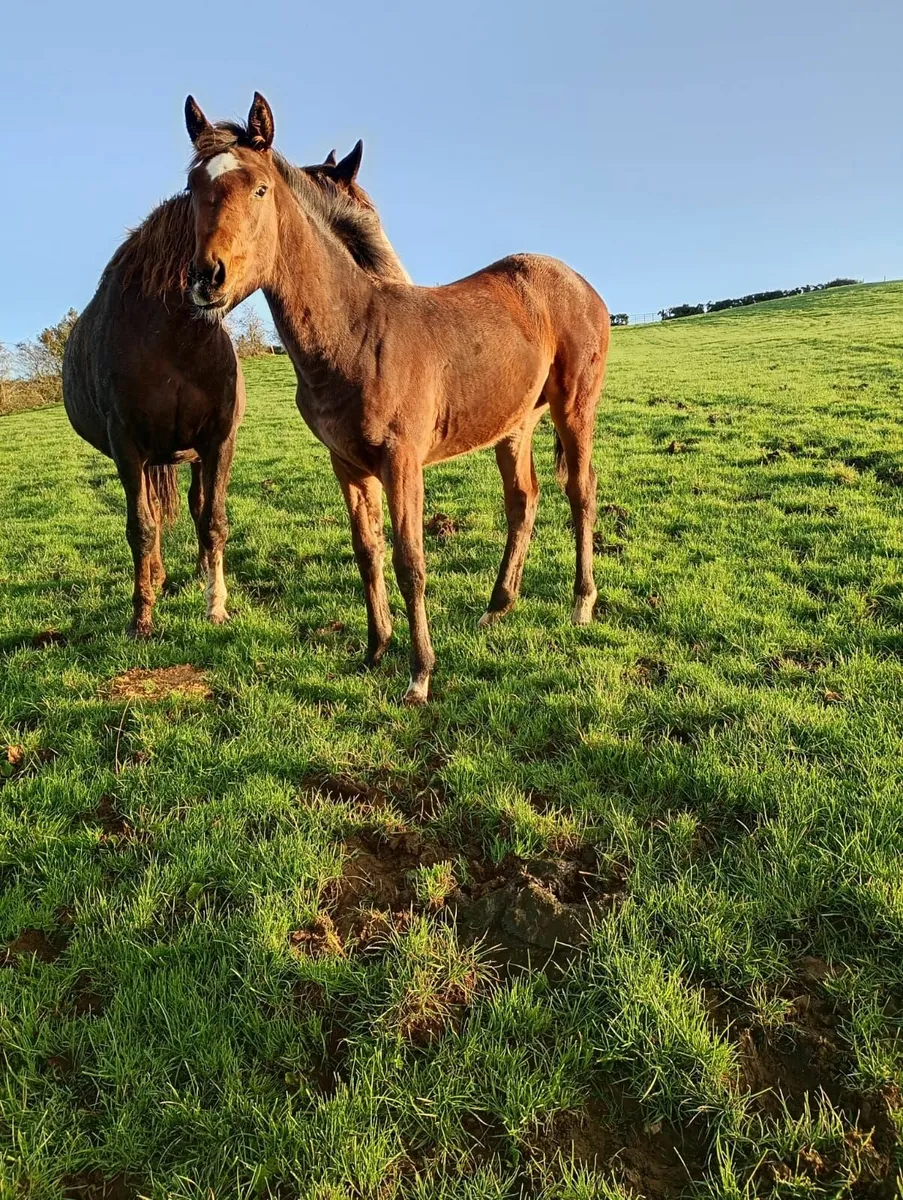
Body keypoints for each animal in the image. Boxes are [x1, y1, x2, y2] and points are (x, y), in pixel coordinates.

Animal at [62, 132, 404, 637]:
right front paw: (141, 617)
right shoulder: (126, 445)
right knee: (154, 516)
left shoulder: (218, 439)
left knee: (193, 505)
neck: (170, 334)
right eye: (363, 217)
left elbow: (213, 518)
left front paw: (215, 602)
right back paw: (157, 580)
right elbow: (140, 528)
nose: (396, 284)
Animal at [183, 93, 610, 704]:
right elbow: (368, 553)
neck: (357, 333)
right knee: (522, 500)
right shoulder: (347, 464)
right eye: (192, 187)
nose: (206, 280)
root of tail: (579, 281)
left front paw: (420, 674)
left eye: (260, 189)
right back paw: (496, 609)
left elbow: (411, 561)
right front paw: (374, 650)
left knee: (580, 492)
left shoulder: (402, 461)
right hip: (514, 423)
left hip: (574, 408)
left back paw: (580, 605)